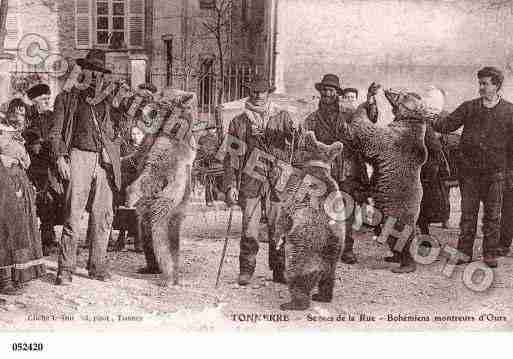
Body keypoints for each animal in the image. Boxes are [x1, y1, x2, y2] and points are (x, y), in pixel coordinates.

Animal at [127, 90, 197, 286]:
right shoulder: (149, 141)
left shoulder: (169, 146)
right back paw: (150, 267)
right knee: (147, 234)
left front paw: (129, 193)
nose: (142, 110)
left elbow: (153, 169)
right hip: (152, 211)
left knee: (161, 238)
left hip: (165, 205)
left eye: (160, 97)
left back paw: (168, 277)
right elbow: (137, 158)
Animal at [272, 131, 344, 310]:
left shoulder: (296, 190)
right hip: (334, 254)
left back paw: (293, 303)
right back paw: (323, 296)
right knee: (328, 279)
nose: (305, 132)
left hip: (302, 252)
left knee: (297, 276)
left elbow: (284, 213)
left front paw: (277, 236)